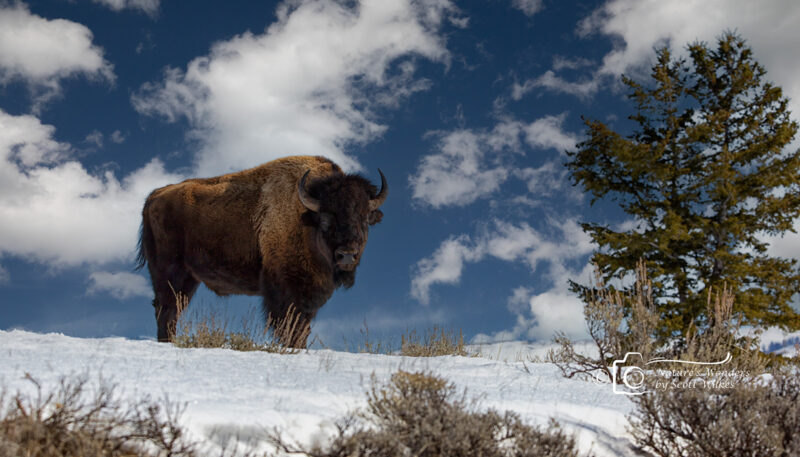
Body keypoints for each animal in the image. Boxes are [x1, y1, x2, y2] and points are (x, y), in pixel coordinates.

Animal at [135, 155, 388, 348]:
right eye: (326, 218)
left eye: (364, 218)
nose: (347, 255)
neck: (305, 219)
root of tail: (155, 195)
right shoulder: (286, 291)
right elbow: (291, 327)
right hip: (169, 272)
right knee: (166, 309)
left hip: (188, 278)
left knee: (172, 309)